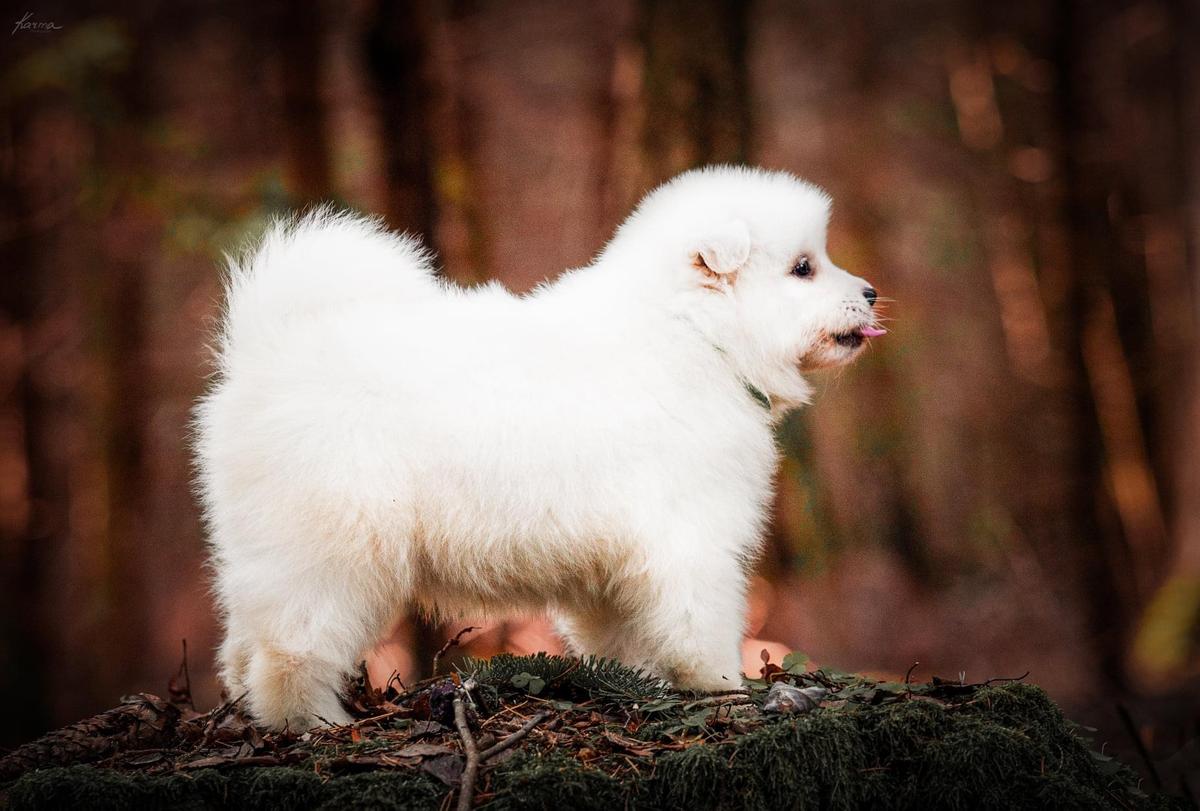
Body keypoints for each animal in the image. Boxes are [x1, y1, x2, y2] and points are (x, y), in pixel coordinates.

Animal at [194, 163, 883, 729]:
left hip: (265, 547)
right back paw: (312, 721)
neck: (695, 336)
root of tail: (267, 351)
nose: (871, 292)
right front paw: (723, 687)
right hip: (331, 548)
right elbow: (699, 622)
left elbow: (622, 632)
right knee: (291, 646)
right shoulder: (690, 536)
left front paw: (637, 681)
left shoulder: (618, 562)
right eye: (803, 268)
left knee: (241, 639)